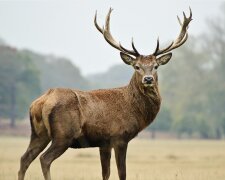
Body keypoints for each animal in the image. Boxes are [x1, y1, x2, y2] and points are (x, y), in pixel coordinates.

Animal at [18, 7, 192, 180]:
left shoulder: (104, 143)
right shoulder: (119, 137)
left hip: (39, 133)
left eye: (156, 66)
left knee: (25, 158)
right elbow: (122, 173)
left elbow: (106, 173)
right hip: (63, 134)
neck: (134, 109)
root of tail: (41, 101)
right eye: (136, 66)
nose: (148, 79)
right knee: (44, 159)